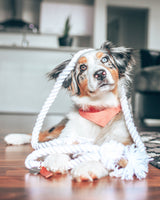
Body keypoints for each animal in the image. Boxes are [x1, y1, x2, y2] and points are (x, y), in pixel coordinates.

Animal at [4, 41, 135, 182]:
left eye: (105, 59)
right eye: (82, 67)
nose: (100, 73)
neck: (98, 109)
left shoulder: (125, 143)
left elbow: (108, 154)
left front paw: (88, 166)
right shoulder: (70, 133)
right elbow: (60, 145)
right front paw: (55, 158)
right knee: (43, 134)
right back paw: (14, 137)